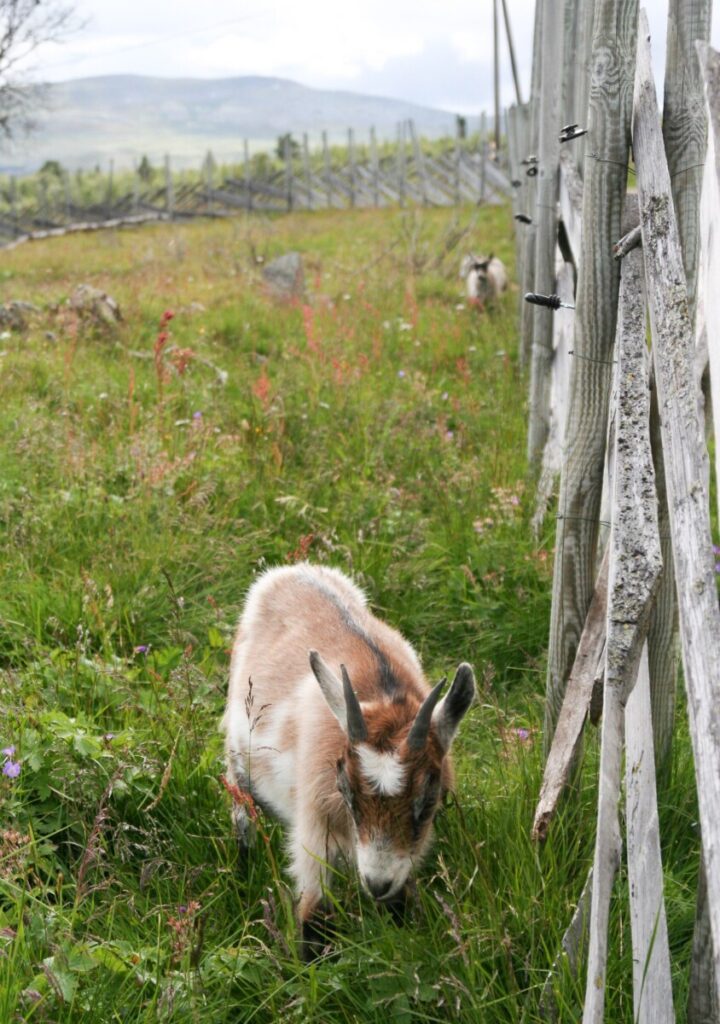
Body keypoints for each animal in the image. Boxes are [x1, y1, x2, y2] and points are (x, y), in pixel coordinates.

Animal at [222, 565, 475, 954]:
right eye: (347, 792)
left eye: (428, 802)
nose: (376, 883)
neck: (385, 696)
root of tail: (291, 571)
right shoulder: (315, 820)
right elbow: (315, 913)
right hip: (237, 756)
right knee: (242, 814)